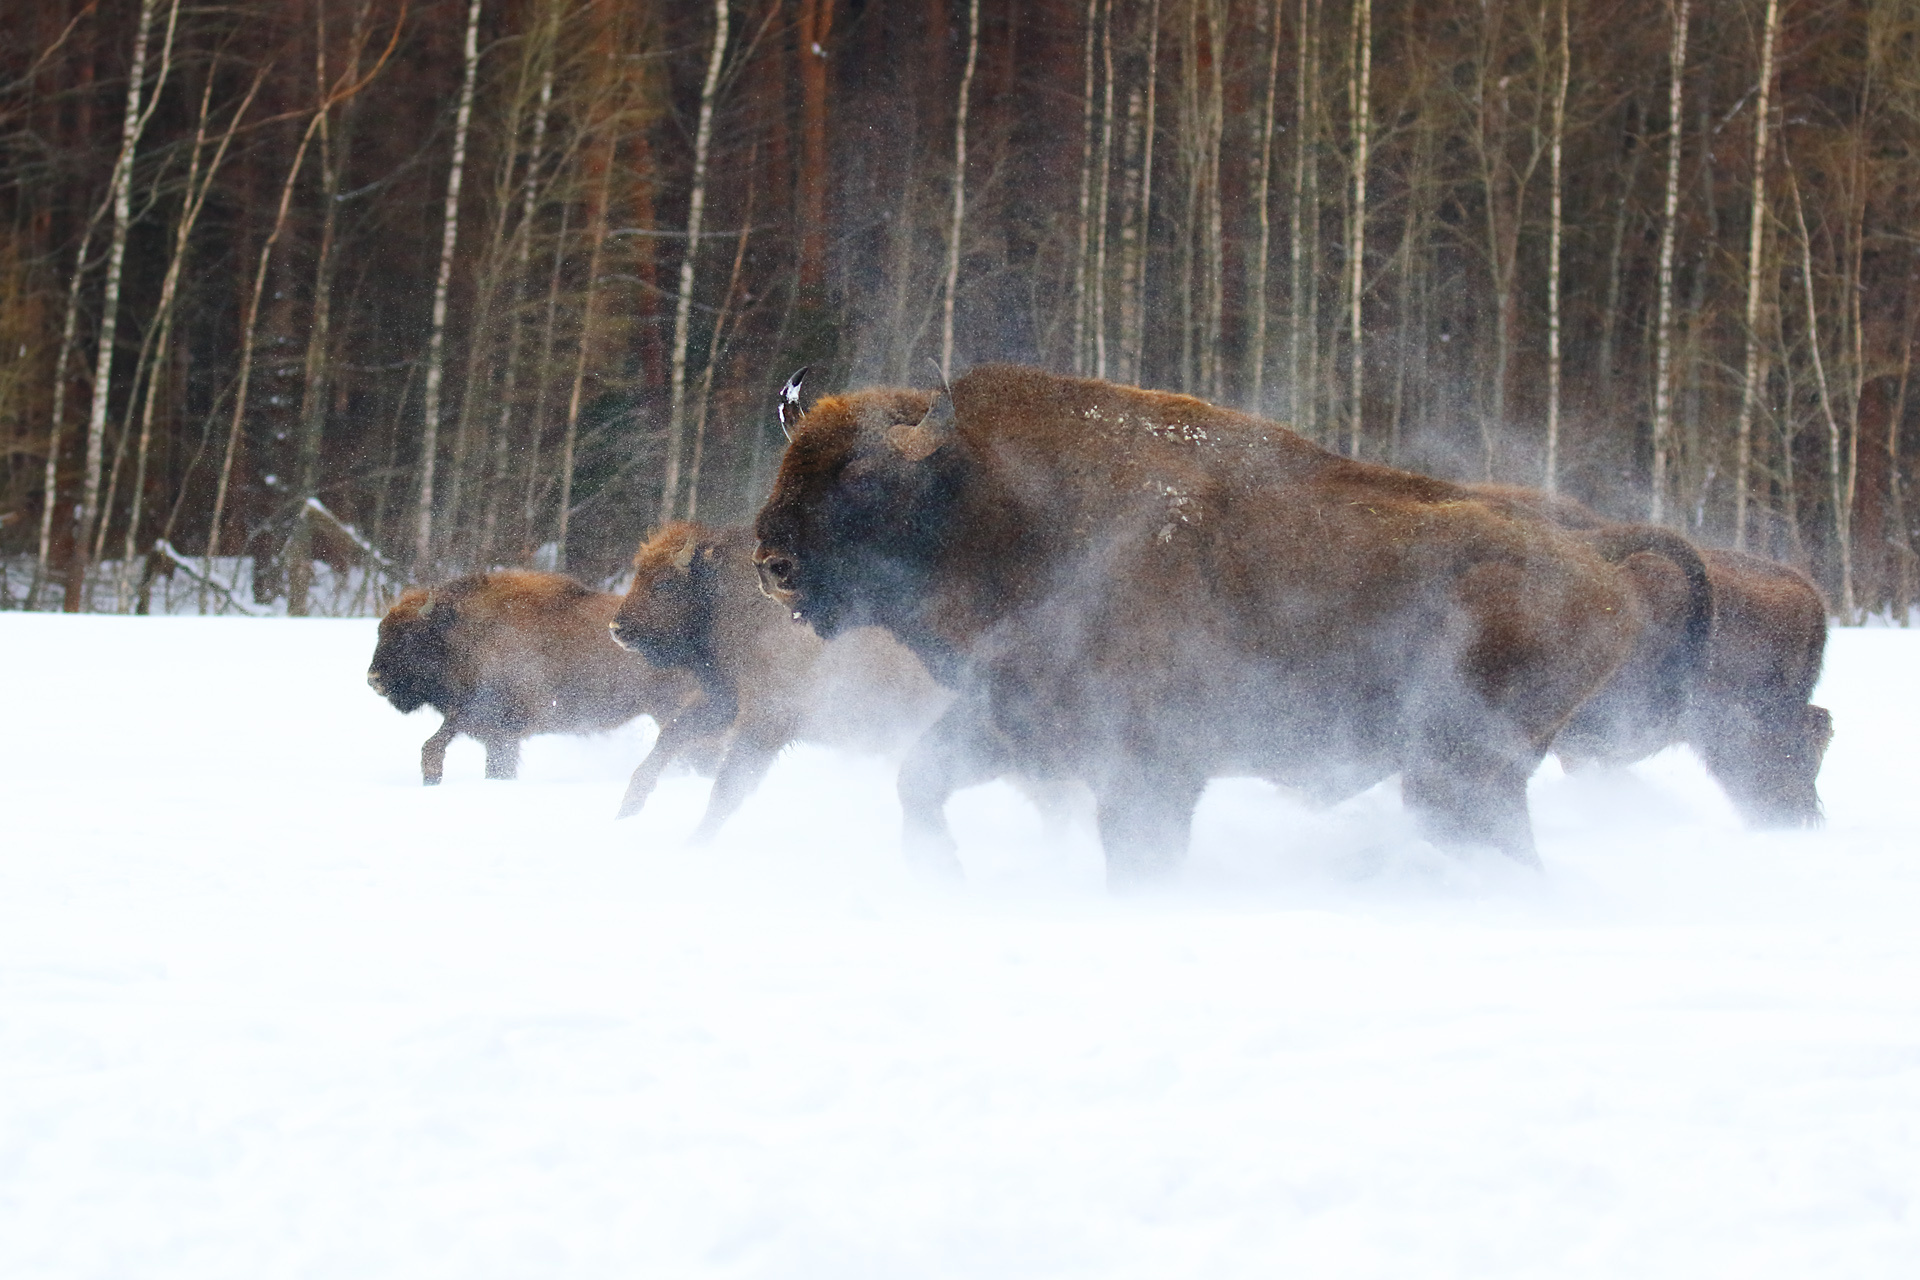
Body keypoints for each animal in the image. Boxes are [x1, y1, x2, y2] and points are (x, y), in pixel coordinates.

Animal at [362, 568, 702, 782]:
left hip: (670, 711)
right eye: (381, 631)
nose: (373, 679)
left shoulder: (499, 724)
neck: (466, 634)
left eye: (411, 637)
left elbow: (440, 747)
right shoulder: (485, 729)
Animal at [606, 521, 952, 840]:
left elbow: (727, 787)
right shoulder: (726, 700)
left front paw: (695, 842)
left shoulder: (765, 721)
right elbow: (672, 735)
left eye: (665, 583)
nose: (616, 629)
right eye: (638, 574)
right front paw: (628, 807)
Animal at [756, 360, 1658, 882]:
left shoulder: (1149, 770)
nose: (770, 561)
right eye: (790, 461)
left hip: (1462, 772)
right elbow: (918, 778)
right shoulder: (1014, 723)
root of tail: (1607, 582)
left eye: (863, 473)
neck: (998, 506)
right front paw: (938, 870)